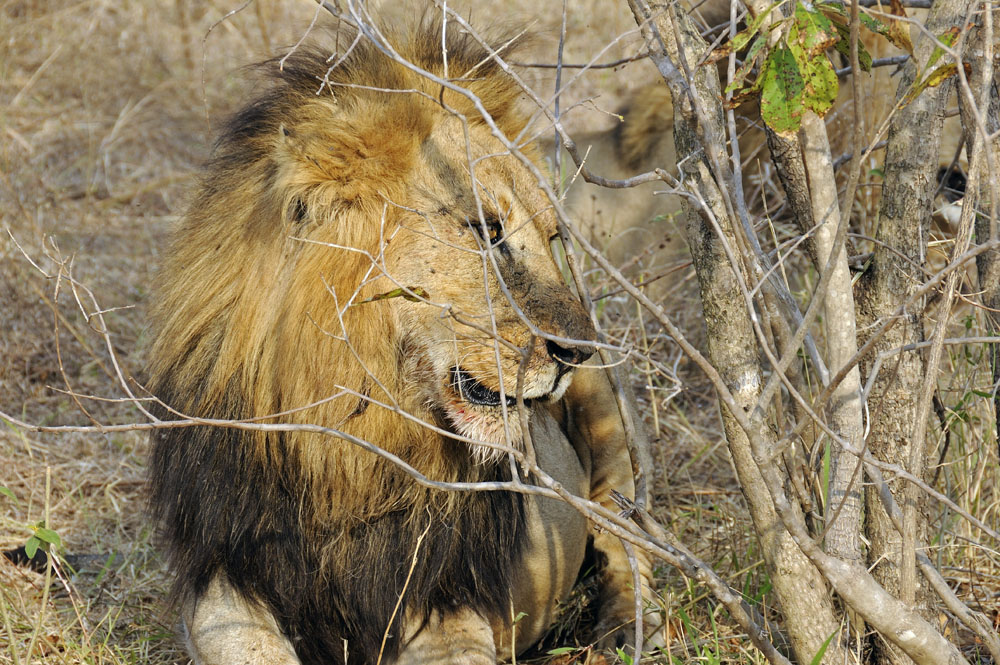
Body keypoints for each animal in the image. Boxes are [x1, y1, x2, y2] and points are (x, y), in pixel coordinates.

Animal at [146, 18, 653, 665]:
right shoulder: (225, 572)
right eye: (486, 230)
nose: (577, 350)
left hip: (611, 429)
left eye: (553, 237)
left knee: (630, 545)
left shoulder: (442, 597)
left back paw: (620, 632)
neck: (352, 441)